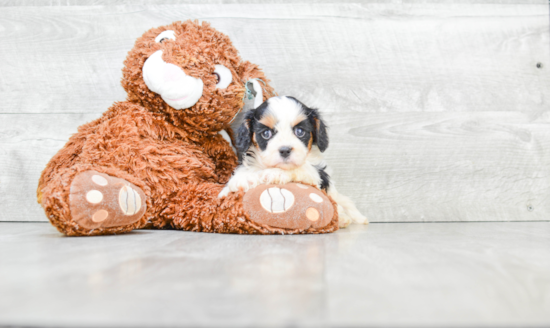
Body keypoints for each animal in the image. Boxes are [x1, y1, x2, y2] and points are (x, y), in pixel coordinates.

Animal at [218, 96, 368, 227]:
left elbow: (300, 169)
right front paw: (241, 180)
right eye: (266, 134)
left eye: (300, 131)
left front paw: (275, 173)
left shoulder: (316, 175)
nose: (285, 150)